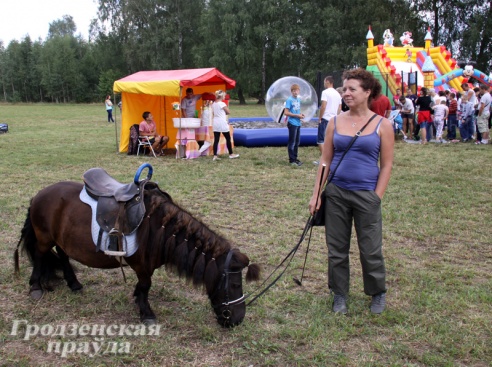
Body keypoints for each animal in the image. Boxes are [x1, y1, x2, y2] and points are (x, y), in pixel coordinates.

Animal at [14, 181, 262, 328]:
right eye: (235, 285)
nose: (238, 320)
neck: (160, 228)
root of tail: (38, 195)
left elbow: (141, 287)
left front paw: (137, 301)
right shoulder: (143, 266)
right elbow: (145, 286)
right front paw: (146, 313)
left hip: (60, 240)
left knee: (63, 255)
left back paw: (74, 283)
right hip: (44, 237)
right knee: (39, 256)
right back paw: (35, 287)